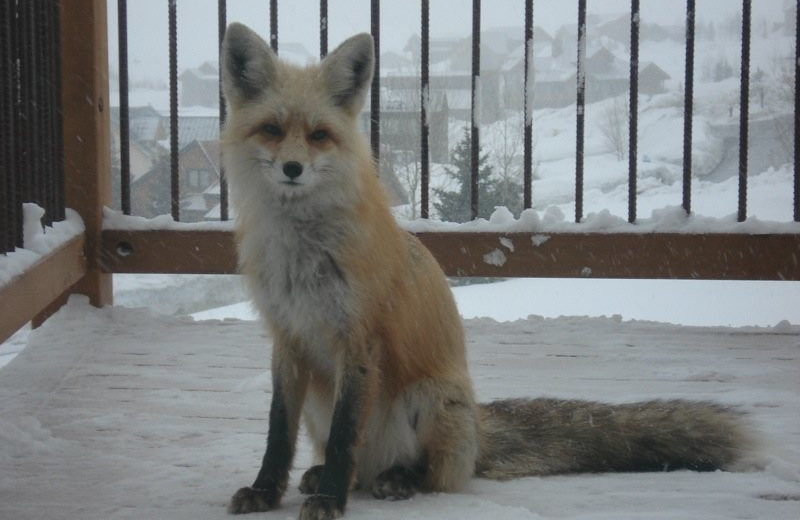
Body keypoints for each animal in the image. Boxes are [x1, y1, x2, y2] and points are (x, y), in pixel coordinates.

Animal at [220, 22, 756, 516]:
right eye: (272, 129)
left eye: (318, 135)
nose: (293, 169)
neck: (303, 253)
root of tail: (478, 430)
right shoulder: (287, 337)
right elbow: (278, 432)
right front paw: (267, 491)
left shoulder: (359, 340)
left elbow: (343, 437)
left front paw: (330, 499)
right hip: (321, 398)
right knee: (358, 463)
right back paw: (330, 476)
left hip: (430, 396)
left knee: (432, 471)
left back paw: (396, 479)